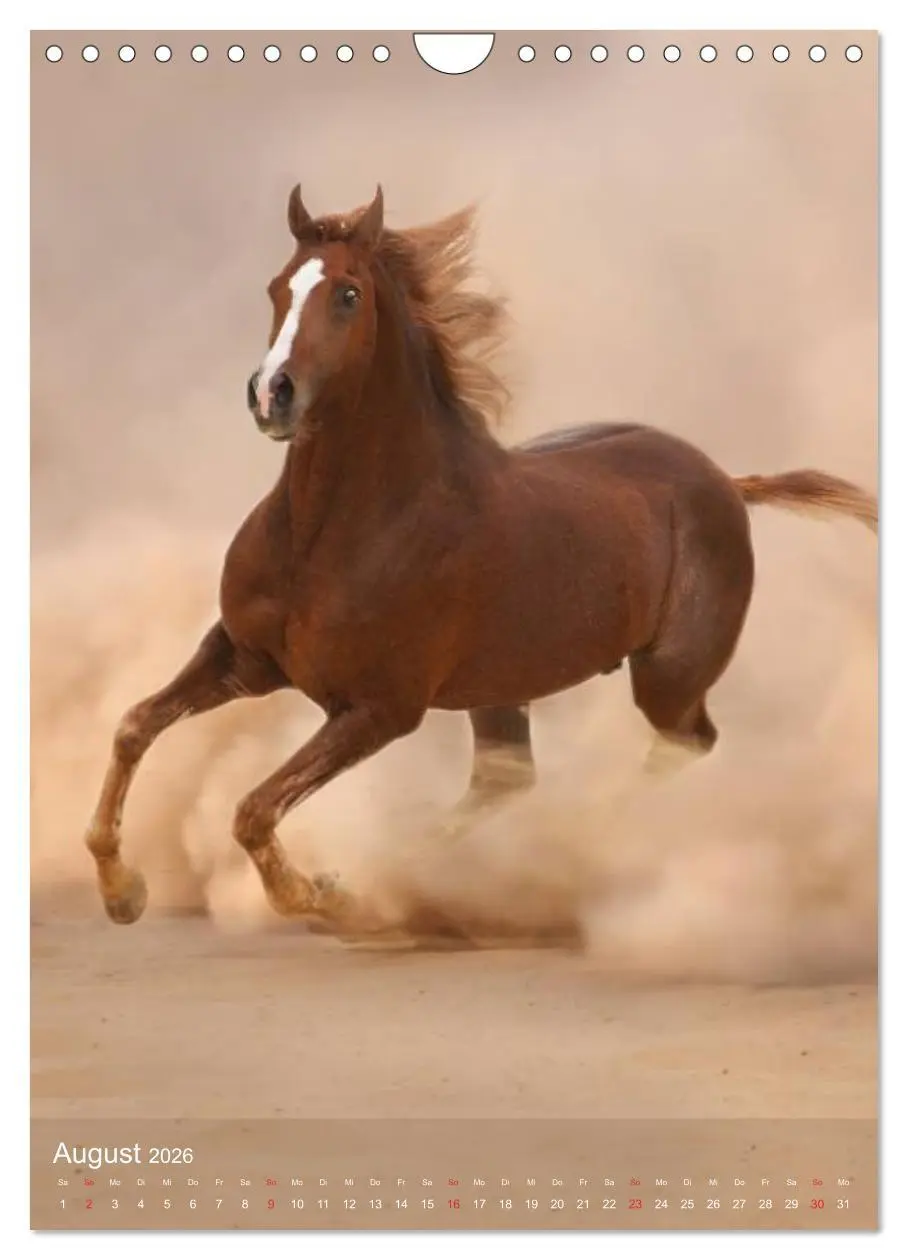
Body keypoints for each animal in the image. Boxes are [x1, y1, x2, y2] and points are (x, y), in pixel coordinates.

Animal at [83, 185, 878, 933]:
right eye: (278, 286)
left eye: (348, 293)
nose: (272, 395)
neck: (329, 533)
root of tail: (725, 481)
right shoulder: (244, 659)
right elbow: (133, 726)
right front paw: (123, 892)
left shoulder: (379, 709)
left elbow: (253, 809)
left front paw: (327, 896)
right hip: (505, 686)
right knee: (510, 780)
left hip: (669, 676)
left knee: (684, 745)